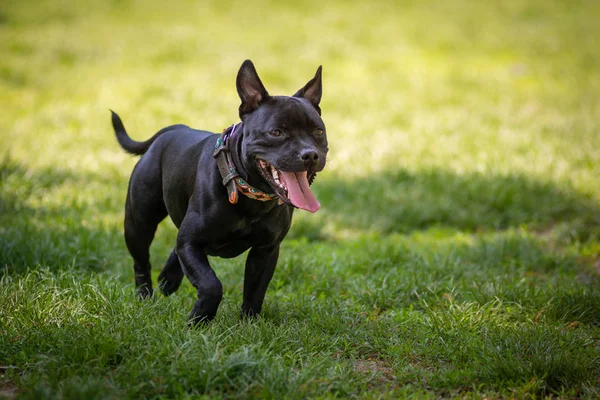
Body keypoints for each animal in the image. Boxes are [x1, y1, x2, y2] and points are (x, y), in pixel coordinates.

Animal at [110, 60, 330, 324]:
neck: (251, 193)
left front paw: (249, 323)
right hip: (139, 223)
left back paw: (168, 279)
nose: (310, 154)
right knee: (141, 263)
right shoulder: (192, 243)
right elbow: (211, 284)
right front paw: (199, 320)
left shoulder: (265, 251)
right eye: (277, 132)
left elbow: (254, 291)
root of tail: (173, 130)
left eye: (318, 132)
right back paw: (145, 297)